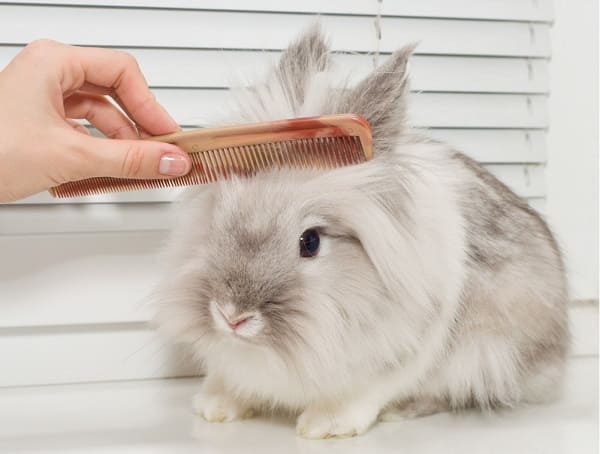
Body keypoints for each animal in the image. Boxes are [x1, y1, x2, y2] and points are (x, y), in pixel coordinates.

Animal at [152, 25, 568, 440]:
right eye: (220, 215)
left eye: (310, 242)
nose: (232, 316)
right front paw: (215, 406)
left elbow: (366, 392)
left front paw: (323, 425)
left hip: (486, 350)